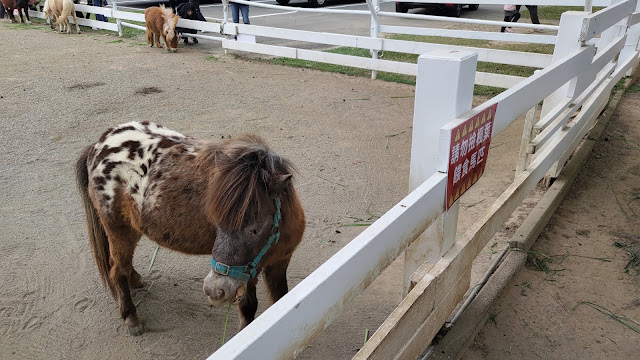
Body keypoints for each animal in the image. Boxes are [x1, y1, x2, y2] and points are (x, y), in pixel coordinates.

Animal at [76, 121, 306, 334]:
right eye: (217, 224)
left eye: (255, 230)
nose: (214, 290)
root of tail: (98, 146)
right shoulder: (250, 273)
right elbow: (249, 309)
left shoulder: (278, 263)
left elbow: (281, 297)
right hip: (118, 230)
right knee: (117, 270)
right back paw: (131, 317)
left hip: (130, 231)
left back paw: (136, 281)